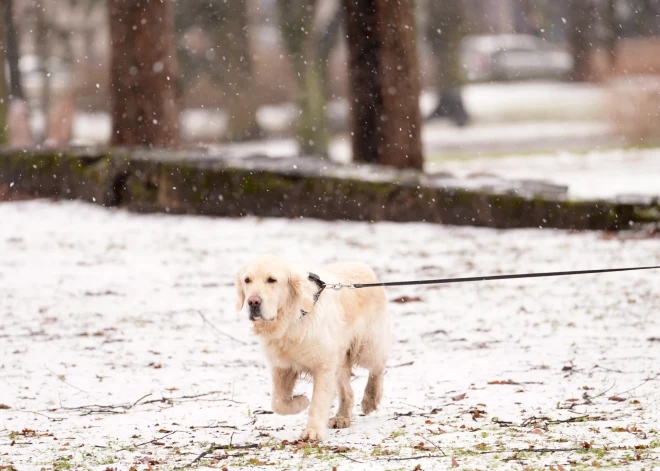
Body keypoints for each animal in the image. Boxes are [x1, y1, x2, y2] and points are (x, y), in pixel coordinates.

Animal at [235, 256, 390, 440]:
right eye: (247, 280)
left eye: (272, 280)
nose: (253, 302)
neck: (292, 319)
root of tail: (363, 266)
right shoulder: (282, 367)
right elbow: (278, 403)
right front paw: (301, 402)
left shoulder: (323, 366)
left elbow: (318, 402)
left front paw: (313, 432)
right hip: (339, 358)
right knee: (348, 392)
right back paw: (342, 417)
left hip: (367, 346)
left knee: (378, 367)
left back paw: (370, 400)